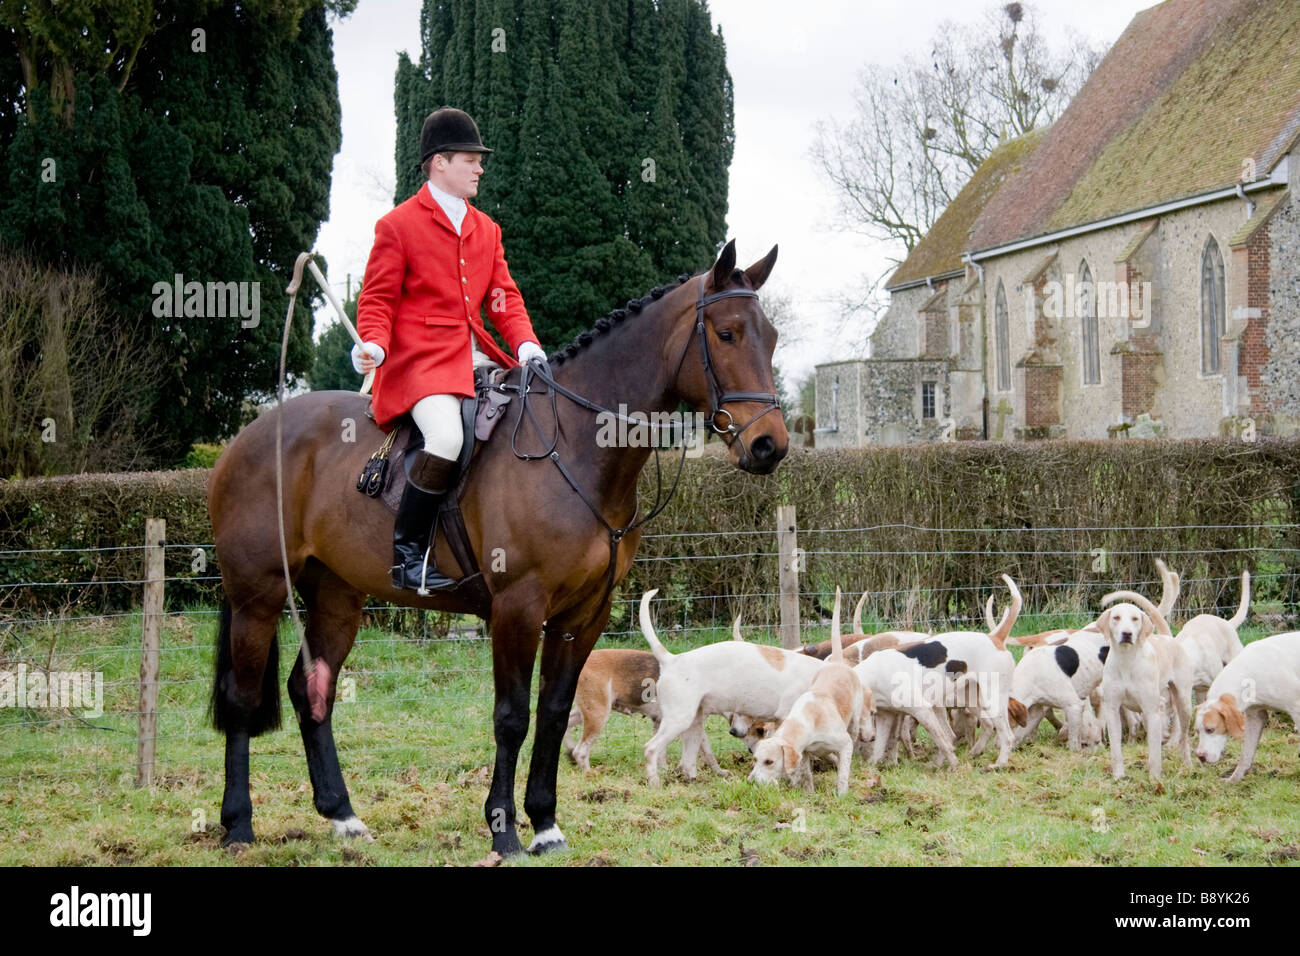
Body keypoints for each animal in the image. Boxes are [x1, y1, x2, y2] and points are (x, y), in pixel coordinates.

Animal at [208, 238, 785, 853]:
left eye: (771, 336)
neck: (574, 446)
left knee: (311, 689)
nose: (769, 445)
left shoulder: (585, 613)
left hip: (337, 597)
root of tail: (249, 435)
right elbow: (512, 717)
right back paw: (238, 824)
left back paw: (342, 814)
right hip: (258, 596)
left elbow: (554, 712)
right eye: (726, 333)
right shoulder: (518, 607)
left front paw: (546, 822)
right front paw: (504, 829)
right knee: (242, 699)